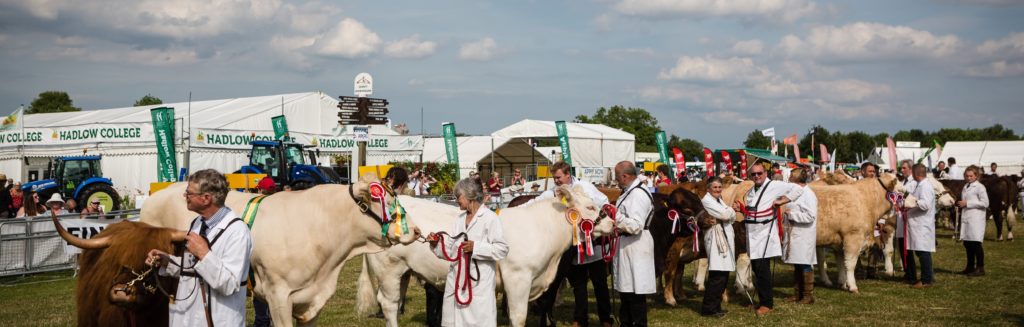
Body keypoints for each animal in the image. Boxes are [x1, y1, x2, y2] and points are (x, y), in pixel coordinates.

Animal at [358, 185, 614, 325]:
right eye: (590, 207)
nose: (612, 223)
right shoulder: (518, 278)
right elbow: (519, 316)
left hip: (404, 272)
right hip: (389, 270)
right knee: (389, 305)